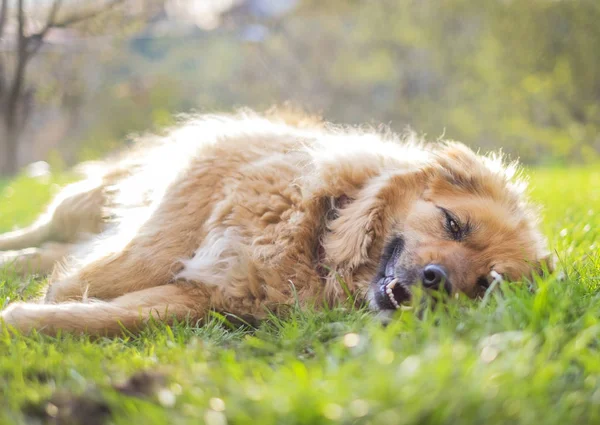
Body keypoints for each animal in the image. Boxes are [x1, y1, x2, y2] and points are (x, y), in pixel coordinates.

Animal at [1, 112, 552, 334]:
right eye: (453, 224)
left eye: (484, 285)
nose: (438, 281)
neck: (315, 241)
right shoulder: (200, 182)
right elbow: (122, 267)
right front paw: (56, 296)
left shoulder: (201, 299)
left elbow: (107, 316)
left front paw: (29, 318)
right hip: (86, 201)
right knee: (44, 234)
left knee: (49, 252)